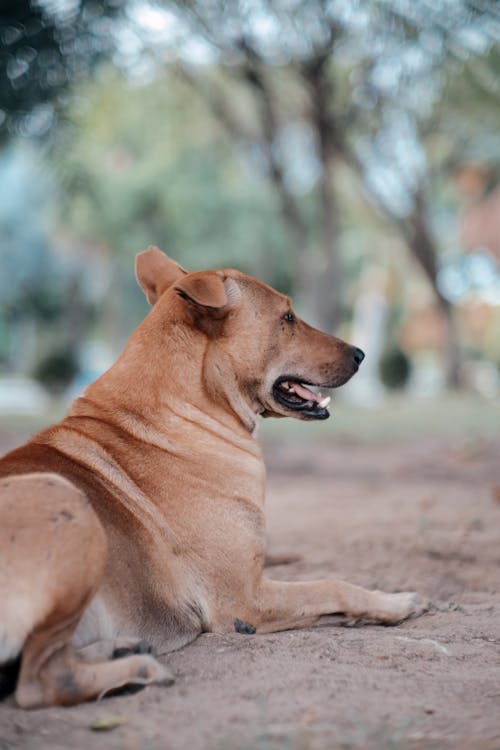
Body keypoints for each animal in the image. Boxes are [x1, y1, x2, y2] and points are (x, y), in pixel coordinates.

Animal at [0, 250, 424, 708]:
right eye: (288, 317)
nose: (361, 353)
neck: (185, 411)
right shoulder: (245, 600)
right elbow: (333, 585)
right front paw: (393, 602)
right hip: (61, 497)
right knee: (40, 680)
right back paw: (136, 670)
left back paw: (121, 650)